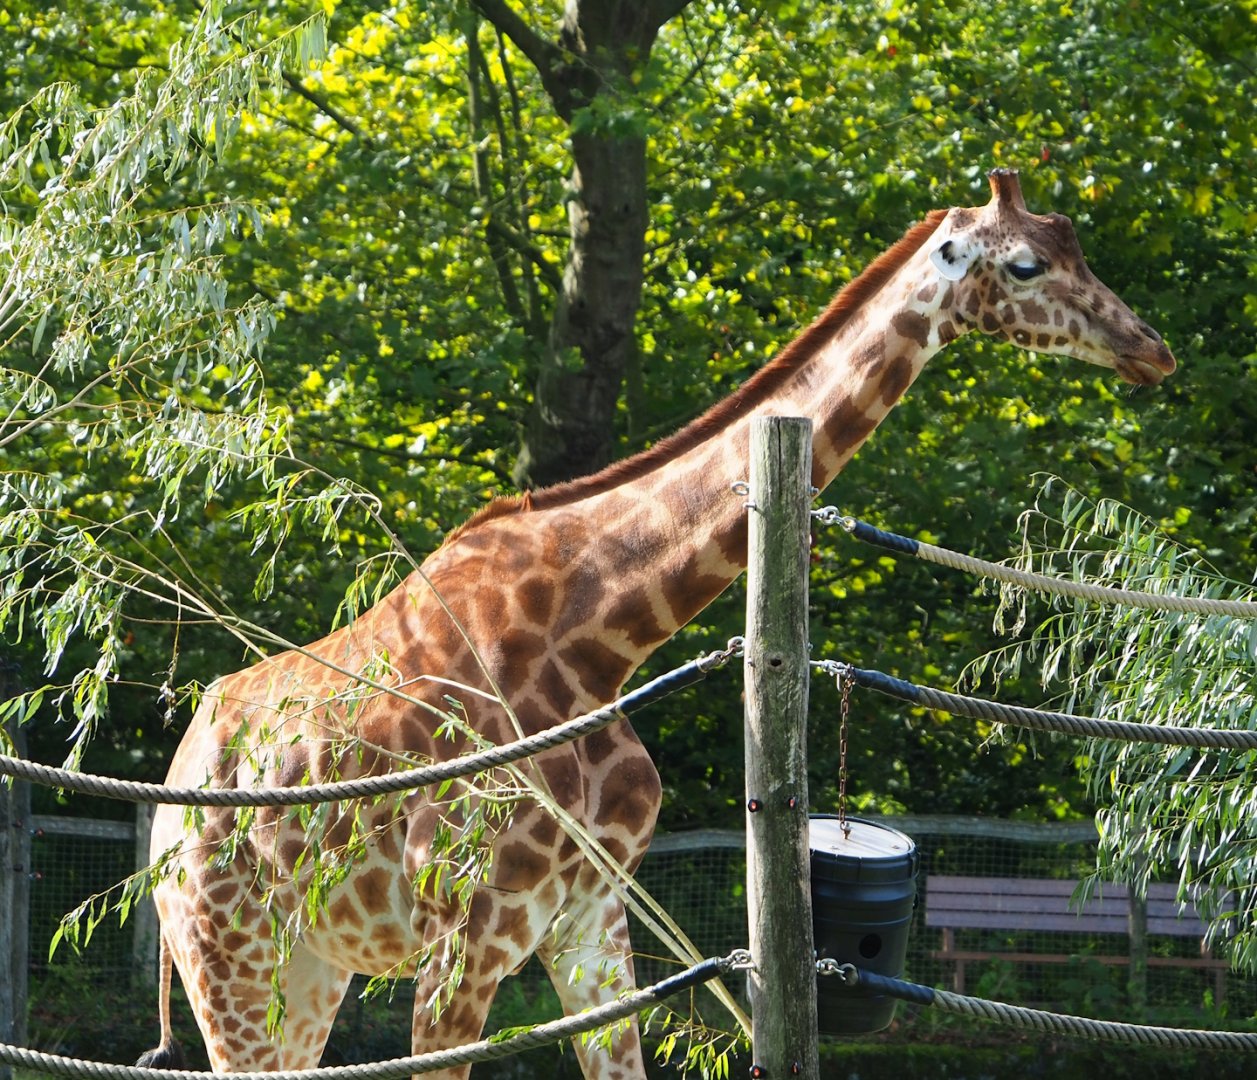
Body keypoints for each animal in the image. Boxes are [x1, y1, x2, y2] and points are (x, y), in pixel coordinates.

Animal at [137, 168, 1174, 1079]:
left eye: (1074, 246)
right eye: (1026, 266)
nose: (1150, 348)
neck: (600, 636)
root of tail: (172, 797)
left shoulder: (588, 917)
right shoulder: (466, 930)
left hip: (310, 964)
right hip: (228, 951)